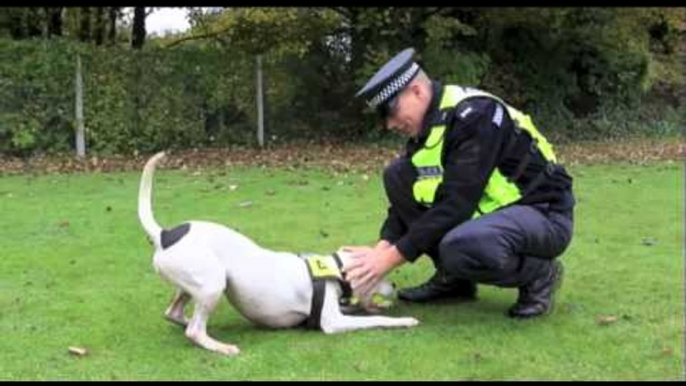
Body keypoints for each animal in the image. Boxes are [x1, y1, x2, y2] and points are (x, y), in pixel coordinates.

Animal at [138, 152, 420, 356]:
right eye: (380, 275)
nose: (394, 286)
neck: (332, 268)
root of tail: (164, 234)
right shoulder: (333, 322)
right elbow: (376, 319)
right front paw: (403, 320)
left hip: (193, 282)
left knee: (174, 314)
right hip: (212, 283)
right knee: (195, 331)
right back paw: (219, 345)